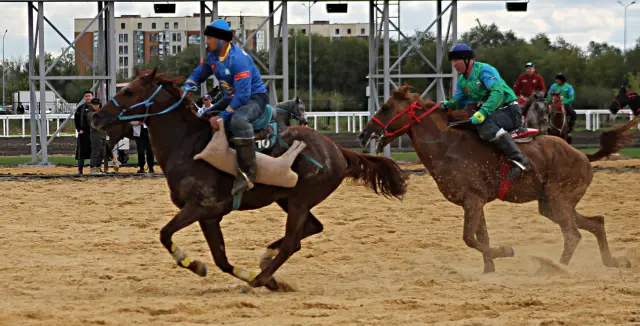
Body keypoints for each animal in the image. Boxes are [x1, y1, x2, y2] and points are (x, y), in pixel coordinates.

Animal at [89, 68, 408, 290]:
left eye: (129, 92)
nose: (96, 117)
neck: (189, 145)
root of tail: (337, 149)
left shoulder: (201, 207)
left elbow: (165, 234)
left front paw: (194, 263)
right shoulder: (209, 217)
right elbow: (221, 260)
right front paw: (211, 267)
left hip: (299, 201)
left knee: (293, 242)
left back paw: (261, 277)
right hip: (288, 199)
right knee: (308, 231)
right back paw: (266, 262)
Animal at [362, 85, 636, 274]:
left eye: (385, 107)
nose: (364, 134)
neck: (447, 146)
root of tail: (583, 155)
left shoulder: (473, 200)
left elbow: (469, 238)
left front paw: (505, 251)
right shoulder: (475, 203)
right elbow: (480, 238)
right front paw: (489, 270)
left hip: (559, 201)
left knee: (573, 235)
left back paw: (554, 269)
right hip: (552, 205)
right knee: (596, 223)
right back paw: (612, 261)